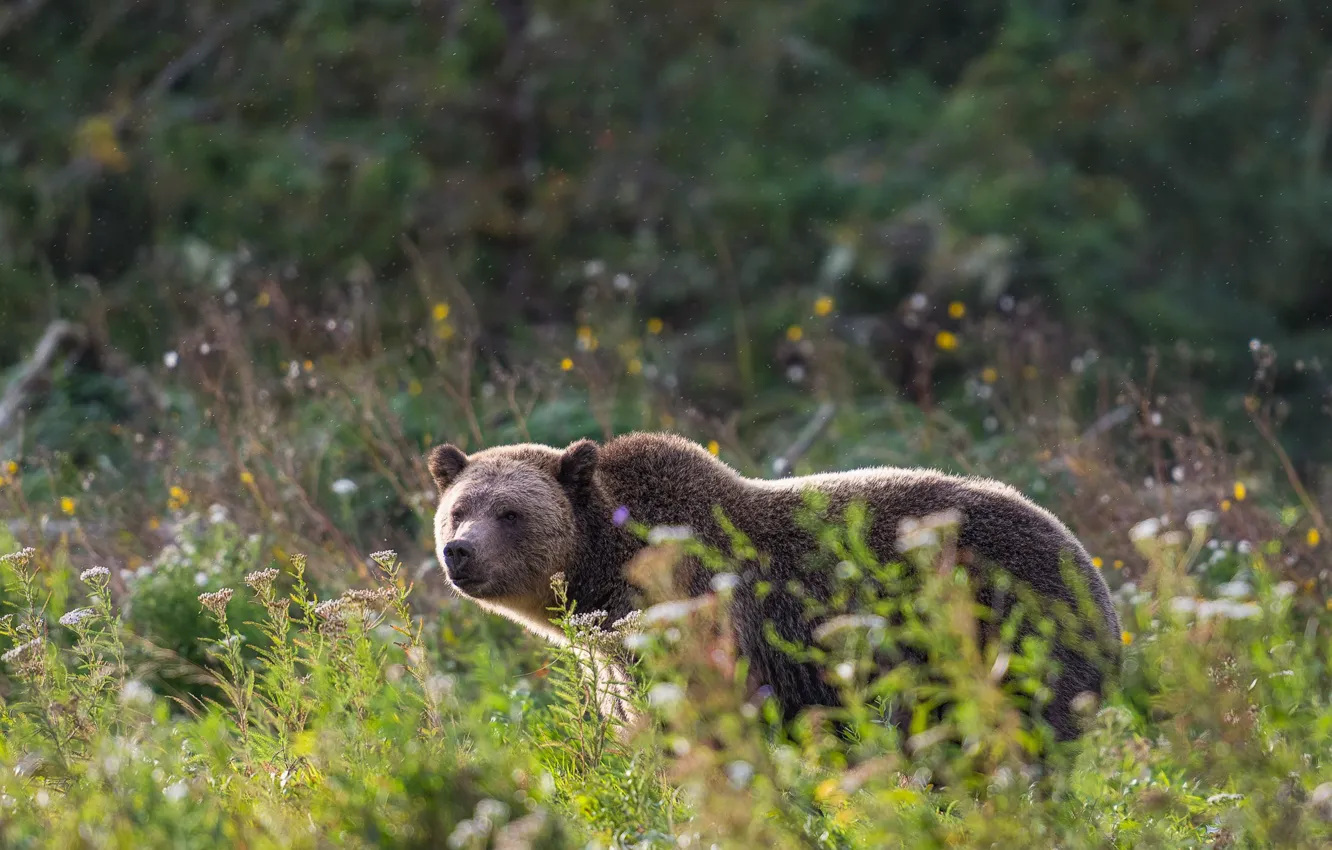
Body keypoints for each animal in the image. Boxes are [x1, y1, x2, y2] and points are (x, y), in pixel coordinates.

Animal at [428, 431, 1120, 742]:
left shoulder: (696, 616)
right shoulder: (615, 656)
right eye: (459, 509)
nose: (458, 551)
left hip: (1008, 627)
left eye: (510, 513)